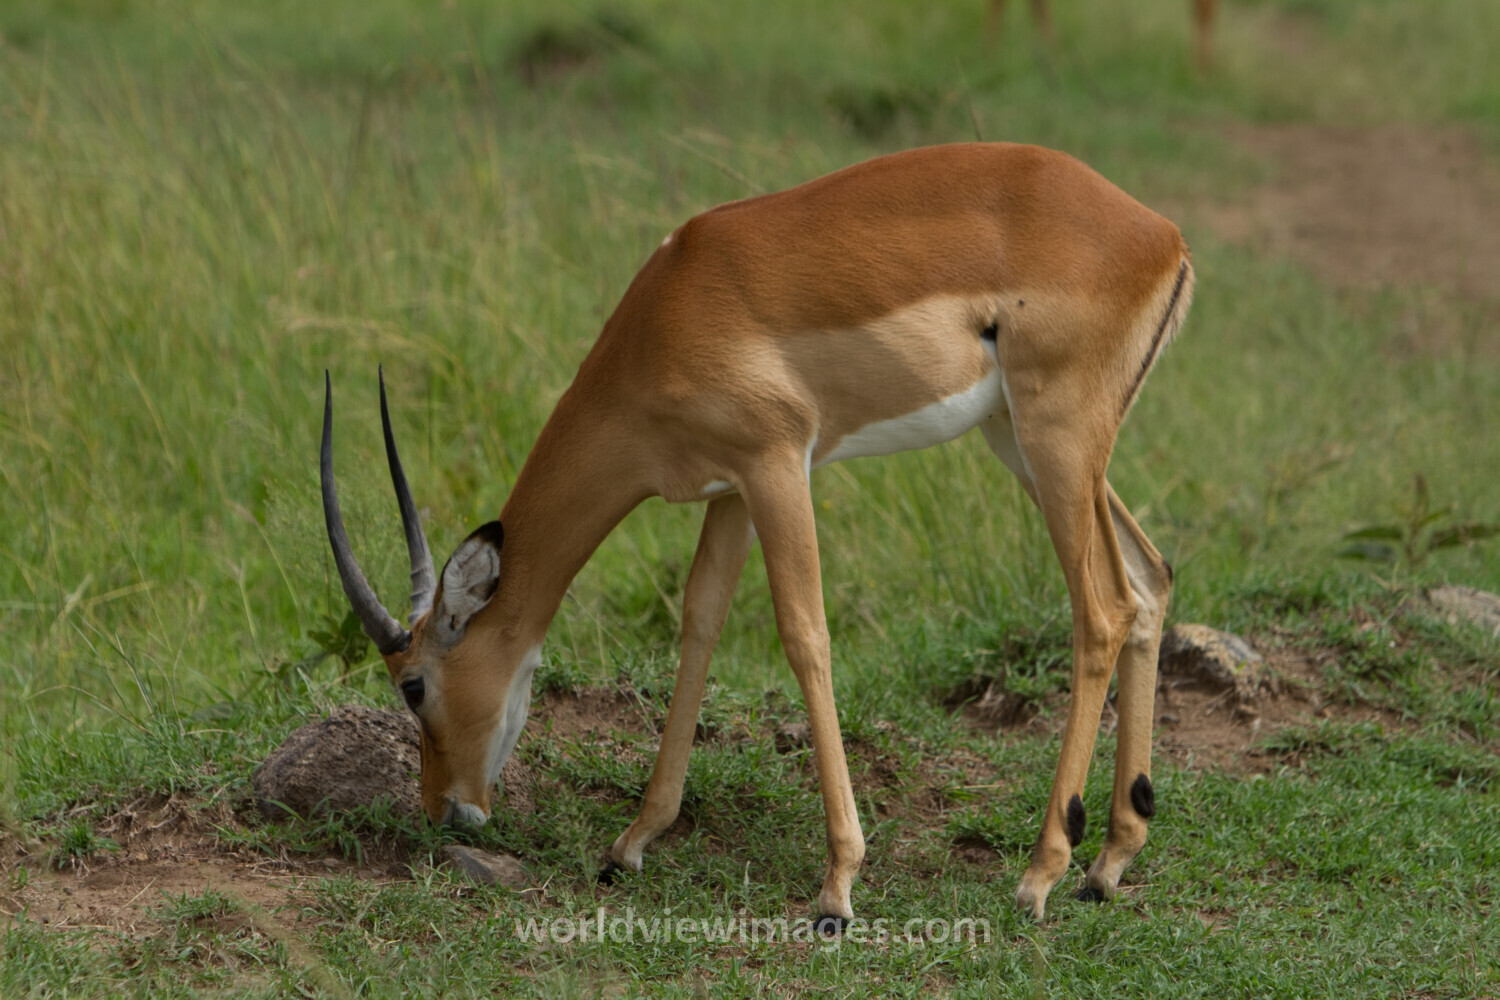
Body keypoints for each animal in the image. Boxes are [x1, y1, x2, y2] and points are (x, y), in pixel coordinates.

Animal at [320, 142, 1193, 925]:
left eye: (413, 684)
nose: (444, 808)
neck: (664, 315)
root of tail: (1162, 235)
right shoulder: (730, 489)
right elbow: (700, 623)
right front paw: (631, 843)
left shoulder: (778, 465)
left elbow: (804, 634)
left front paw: (838, 886)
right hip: (1025, 440)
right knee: (1150, 580)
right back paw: (1107, 865)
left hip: (1055, 438)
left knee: (1103, 610)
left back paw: (1041, 874)